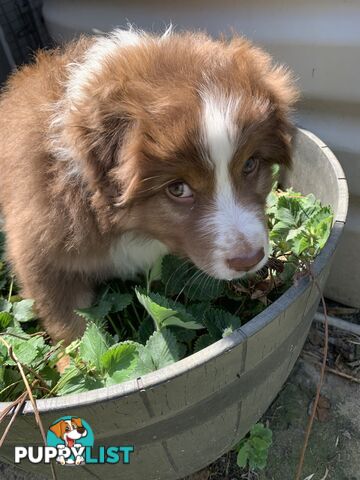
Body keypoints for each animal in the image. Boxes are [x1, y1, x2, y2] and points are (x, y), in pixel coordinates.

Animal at [0, 27, 298, 348]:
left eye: (249, 165)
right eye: (178, 189)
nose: (249, 260)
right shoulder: (43, 254)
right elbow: (72, 327)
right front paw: (73, 355)